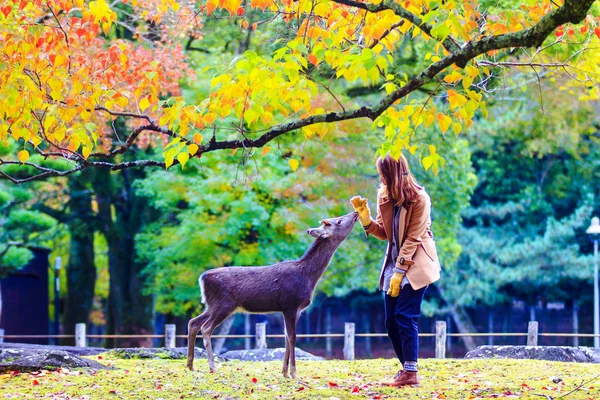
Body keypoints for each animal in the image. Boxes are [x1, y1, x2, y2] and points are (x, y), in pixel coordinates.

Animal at [185, 211, 358, 376]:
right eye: (338, 221)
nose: (355, 213)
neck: (308, 277)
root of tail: (202, 278)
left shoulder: (296, 310)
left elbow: (286, 337)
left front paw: (284, 372)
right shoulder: (290, 304)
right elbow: (292, 338)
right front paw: (294, 374)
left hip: (211, 305)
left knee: (193, 322)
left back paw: (191, 365)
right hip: (224, 304)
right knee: (206, 328)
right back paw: (212, 367)